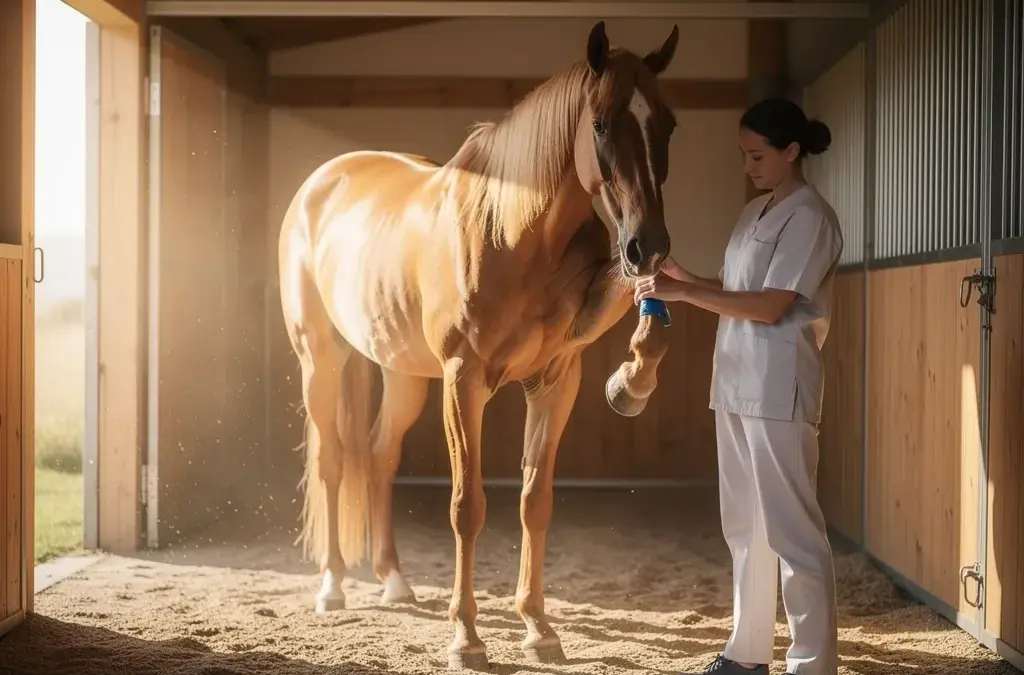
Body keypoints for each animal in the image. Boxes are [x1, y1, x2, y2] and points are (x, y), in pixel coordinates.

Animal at [277, 20, 679, 670]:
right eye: (599, 124)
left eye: (666, 123)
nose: (649, 247)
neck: (511, 229)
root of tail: (321, 182)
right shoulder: (464, 381)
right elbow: (467, 508)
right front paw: (465, 637)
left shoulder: (556, 380)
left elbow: (534, 501)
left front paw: (538, 627)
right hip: (322, 359)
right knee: (333, 460)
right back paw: (333, 586)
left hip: (403, 374)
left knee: (379, 454)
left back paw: (394, 581)